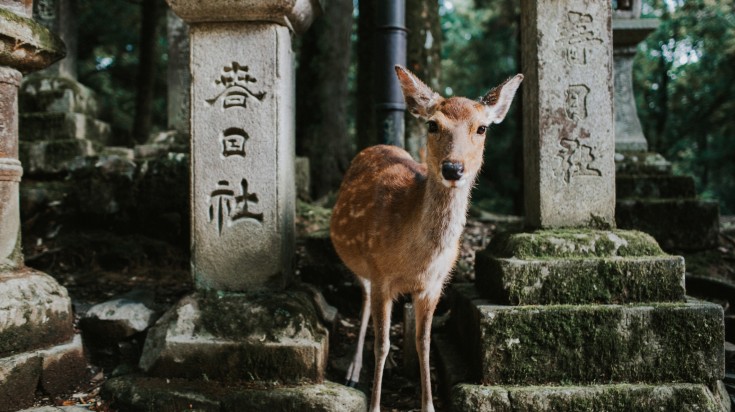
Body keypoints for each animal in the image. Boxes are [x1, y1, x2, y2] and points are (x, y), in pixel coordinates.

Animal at [330, 66, 520, 410]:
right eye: (433, 124)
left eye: (482, 128)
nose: (453, 168)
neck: (416, 259)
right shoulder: (381, 275)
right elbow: (383, 343)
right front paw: (374, 405)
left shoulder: (434, 285)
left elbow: (424, 342)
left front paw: (428, 405)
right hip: (361, 265)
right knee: (363, 302)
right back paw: (352, 371)